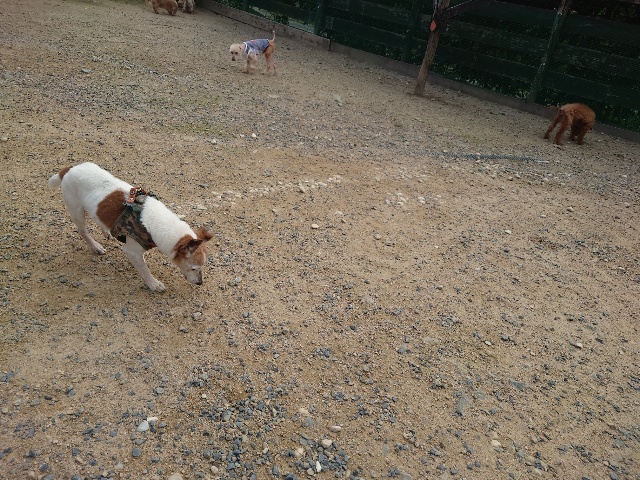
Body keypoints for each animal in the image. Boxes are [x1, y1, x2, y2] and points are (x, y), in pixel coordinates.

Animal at [48, 162, 212, 292]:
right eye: (194, 268)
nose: (200, 283)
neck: (151, 223)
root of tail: (68, 169)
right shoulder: (132, 251)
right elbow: (144, 269)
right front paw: (154, 284)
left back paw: (106, 232)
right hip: (77, 211)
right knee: (82, 231)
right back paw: (95, 247)